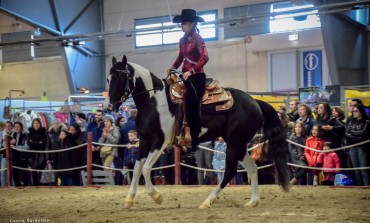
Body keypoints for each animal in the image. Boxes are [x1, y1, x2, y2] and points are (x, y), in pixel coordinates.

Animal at [105, 55, 290, 208]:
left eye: (120, 78)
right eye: (108, 79)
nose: (109, 106)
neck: (154, 102)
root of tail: (255, 102)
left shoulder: (160, 141)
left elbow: (146, 168)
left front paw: (157, 196)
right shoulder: (144, 140)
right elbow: (137, 168)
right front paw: (129, 199)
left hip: (235, 143)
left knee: (230, 171)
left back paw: (208, 201)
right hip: (239, 143)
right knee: (252, 168)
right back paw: (252, 201)